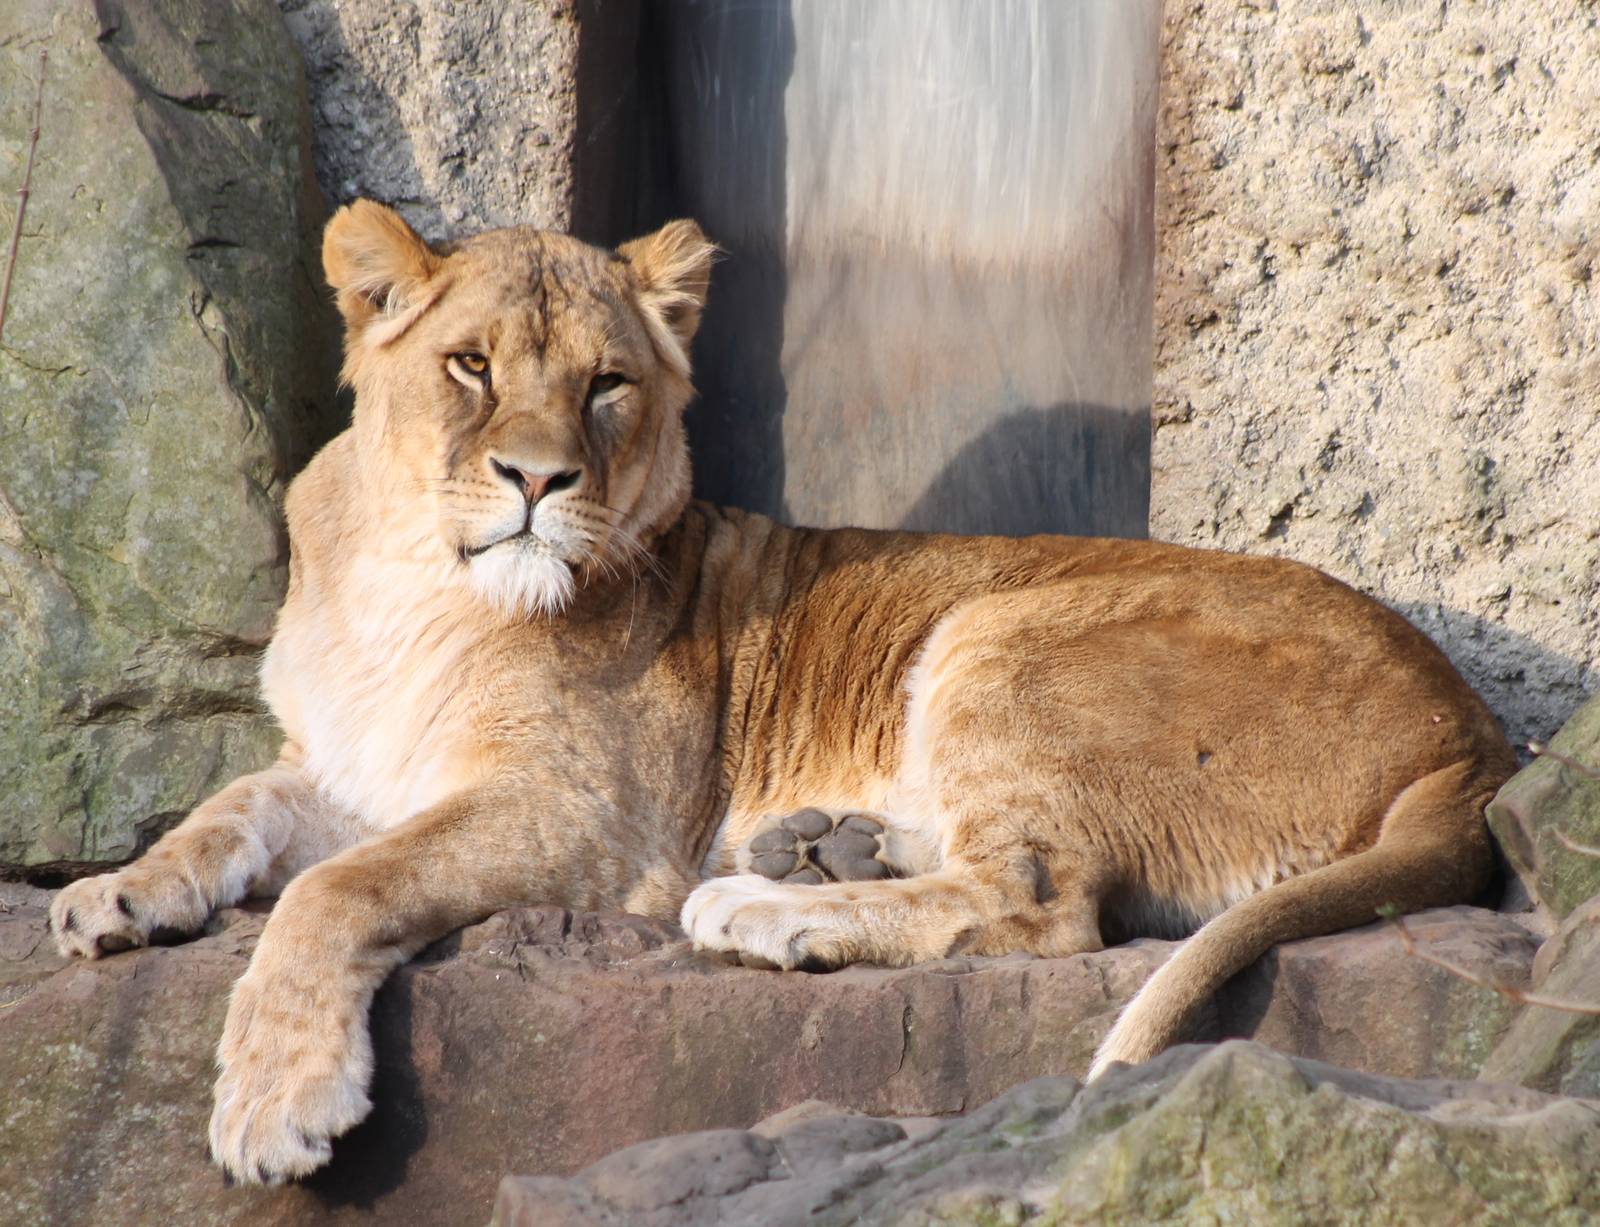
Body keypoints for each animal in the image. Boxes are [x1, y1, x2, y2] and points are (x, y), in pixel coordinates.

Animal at [49, 201, 1516, 1185]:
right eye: (471, 365)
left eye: (607, 384)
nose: (538, 480)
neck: (407, 583)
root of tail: (1472, 733)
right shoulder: (341, 761)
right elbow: (226, 814)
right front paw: (112, 895)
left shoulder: (594, 820)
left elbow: (336, 890)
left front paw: (271, 1102)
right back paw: (823, 847)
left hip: (1002, 628)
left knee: (1044, 906)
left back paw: (771, 906)